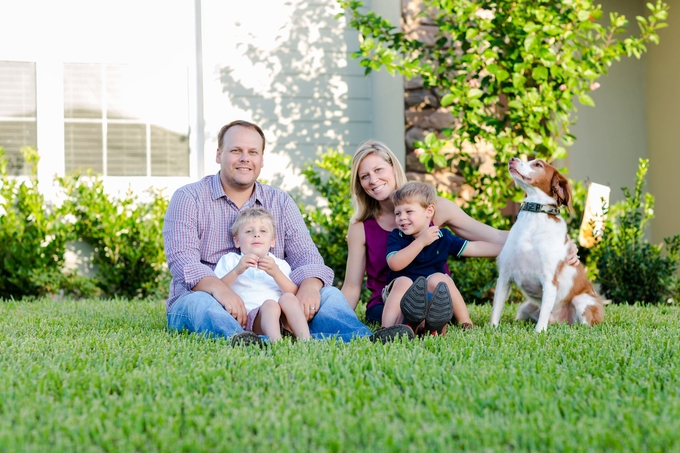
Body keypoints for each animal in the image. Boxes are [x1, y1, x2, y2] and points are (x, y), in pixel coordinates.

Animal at [488, 157, 604, 330]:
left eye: (538, 164)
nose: (512, 158)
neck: (534, 217)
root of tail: (559, 321)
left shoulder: (550, 280)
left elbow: (543, 315)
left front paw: (539, 332)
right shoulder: (504, 277)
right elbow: (496, 309)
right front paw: (492, 328)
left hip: (582, 301)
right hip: (524, 308)